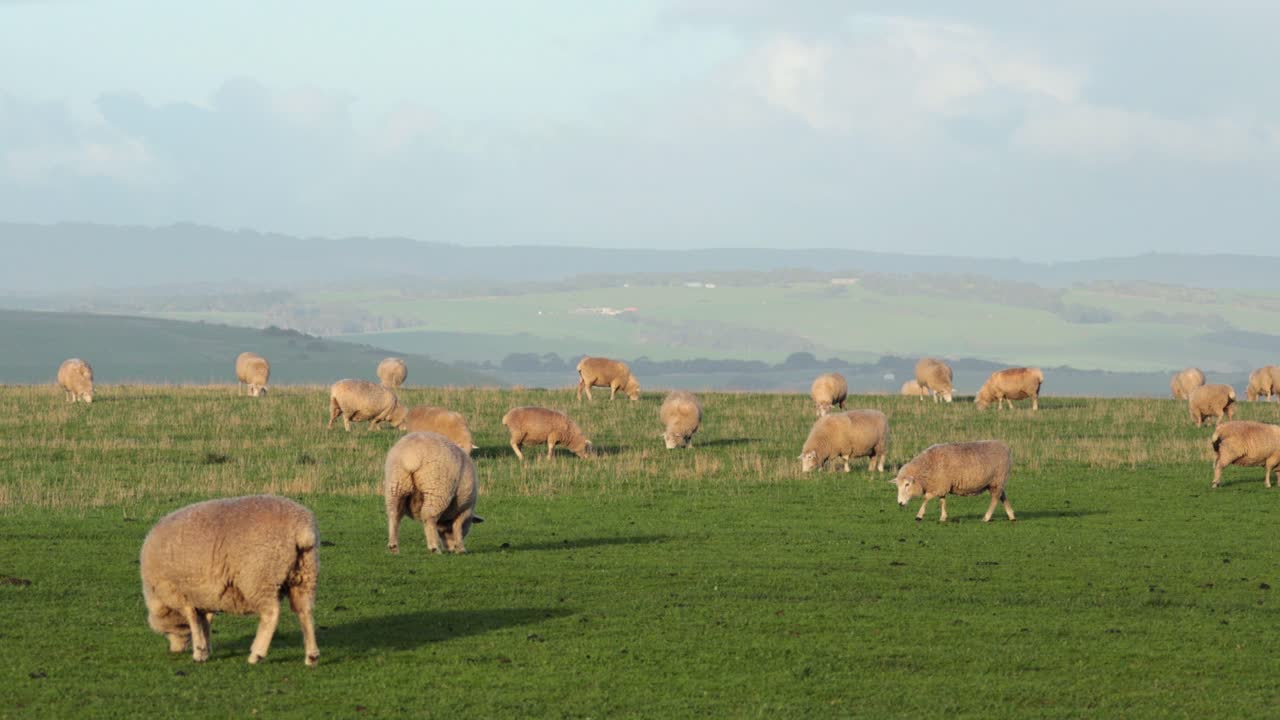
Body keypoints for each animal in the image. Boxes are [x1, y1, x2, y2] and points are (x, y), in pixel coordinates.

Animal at [139, 495, 319, 666]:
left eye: (167, 632)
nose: (174, 650)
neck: (158, 597)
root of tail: (302, 530)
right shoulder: (203, 598)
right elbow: (205, 622)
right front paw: (206, 650)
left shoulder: (181, 594)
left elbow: (193, 621)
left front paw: (198, 651)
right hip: (304, 574)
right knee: (305, 611)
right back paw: (311, 656)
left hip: (259, 577)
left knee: (271, 614)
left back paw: (256, 654)